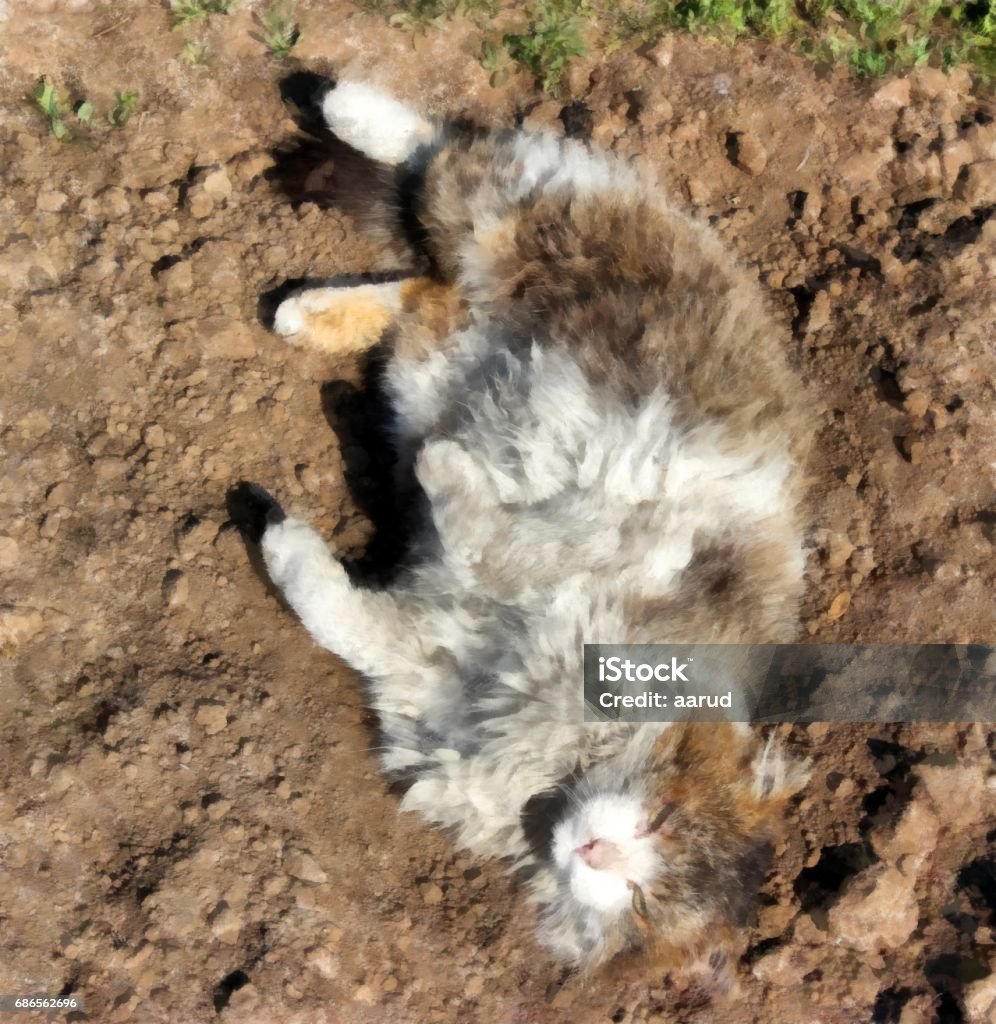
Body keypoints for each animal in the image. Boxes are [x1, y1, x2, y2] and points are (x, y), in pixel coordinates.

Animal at [229, 77, 810, 974]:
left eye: (642, 904)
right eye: (661, 819)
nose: (596, 852)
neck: (565, 761)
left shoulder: (421, 657)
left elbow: (334, 609)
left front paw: (275, 528)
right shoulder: (597, 551)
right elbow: (488, 535)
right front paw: (443, 467)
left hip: (444, 323)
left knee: (421, 289)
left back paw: (305, 312)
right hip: (526, 217)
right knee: (450, 152)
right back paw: (338, 103)